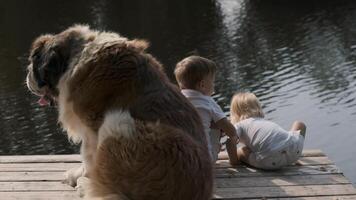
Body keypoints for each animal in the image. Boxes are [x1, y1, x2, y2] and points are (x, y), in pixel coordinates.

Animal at [26, 25, 214, 200]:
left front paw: (80, 175)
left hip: (118, 121)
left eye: (34, 62)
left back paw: (84, 185)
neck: (76, 55)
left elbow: (87, 156)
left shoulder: (91, 128)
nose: (27, 75)